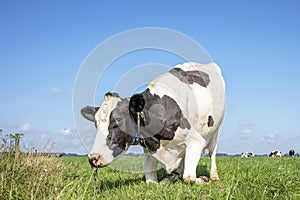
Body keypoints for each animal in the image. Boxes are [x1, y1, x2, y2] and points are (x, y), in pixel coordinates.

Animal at [80, 61, 225, 184]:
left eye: (118, 120)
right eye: (96, 124)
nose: (93, 158)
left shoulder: (196, 140)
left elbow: (189, 177)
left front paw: (205, 179)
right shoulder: (149, 147)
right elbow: (151, 182)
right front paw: (167, 179)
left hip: (215, 131)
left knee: (212, 152)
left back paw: (214, 176)